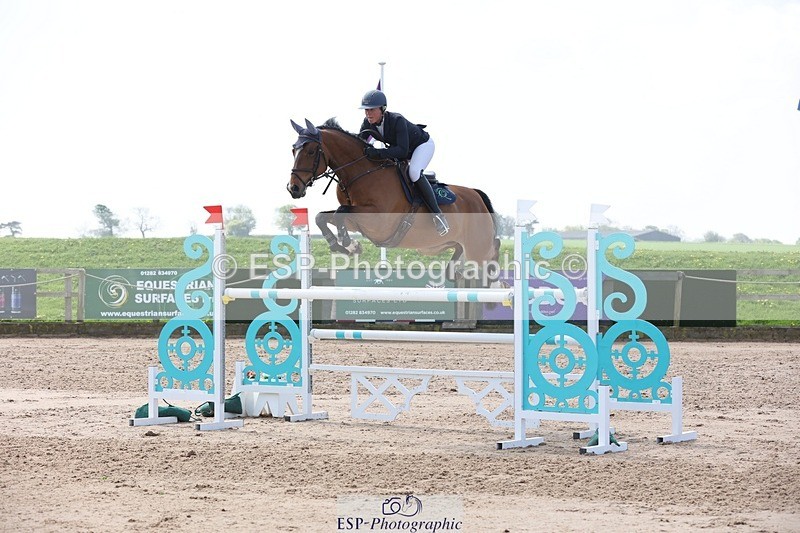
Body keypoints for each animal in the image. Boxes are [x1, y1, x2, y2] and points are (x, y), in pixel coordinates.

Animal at [287, 118, 500, 274]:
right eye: (293, 150)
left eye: (311, 151)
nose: (293, 188)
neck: (361, 172)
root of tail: (476, 195)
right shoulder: (359, 221)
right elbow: (323, 216)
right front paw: (346, 246)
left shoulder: (378, 221)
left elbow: (340, 211)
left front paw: (348, 243)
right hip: (460, 247)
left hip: (477, 249)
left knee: (492, 255)